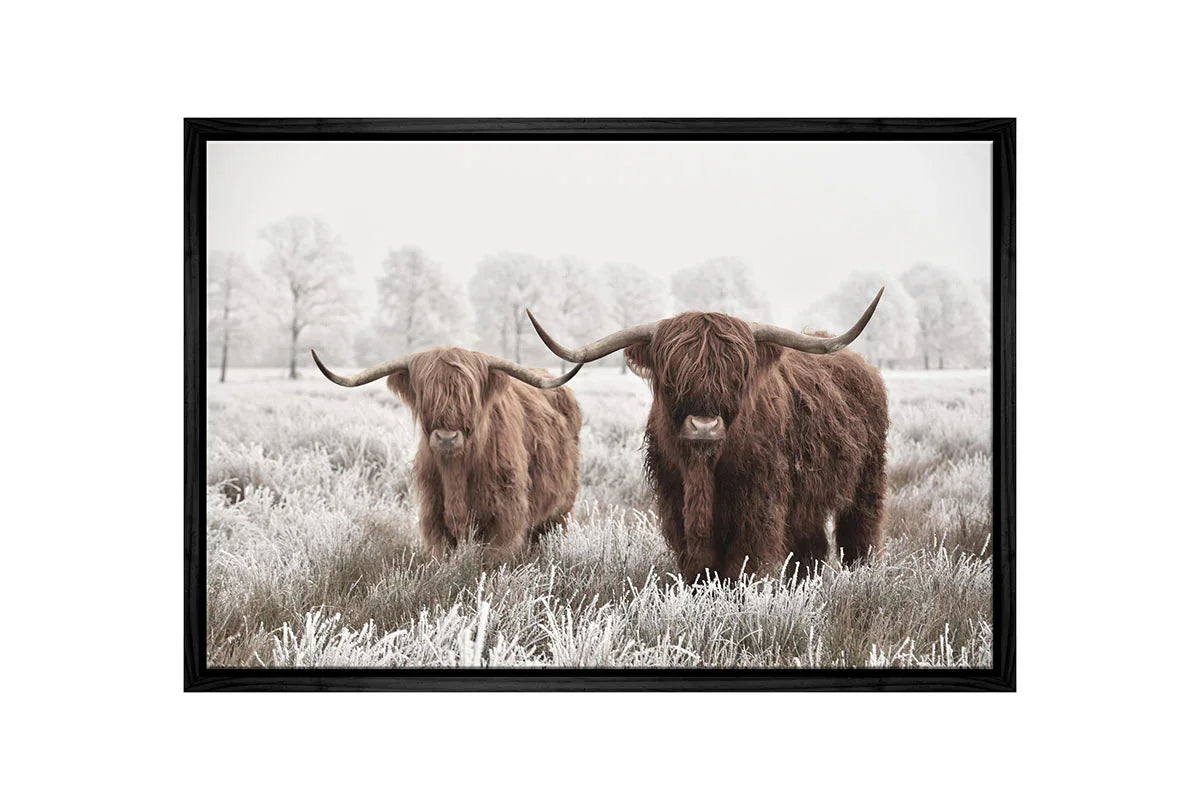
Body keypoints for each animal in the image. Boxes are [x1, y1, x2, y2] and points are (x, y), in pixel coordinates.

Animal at [311, 347, 583, 562]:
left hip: (561, 509)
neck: (457, 472)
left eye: (468, 396)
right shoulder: (434, 516)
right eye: (426, 395)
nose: (446, 437)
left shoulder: (505, 517)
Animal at [527, 289, 887, 581]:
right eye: (671, 374)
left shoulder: (760, 505)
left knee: (859, 534)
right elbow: (698, 566)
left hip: (867, 481)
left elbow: (743, 565)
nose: (703, 426)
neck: (703, 469)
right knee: (811, 546)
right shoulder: (675, 502)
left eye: (737, 374)